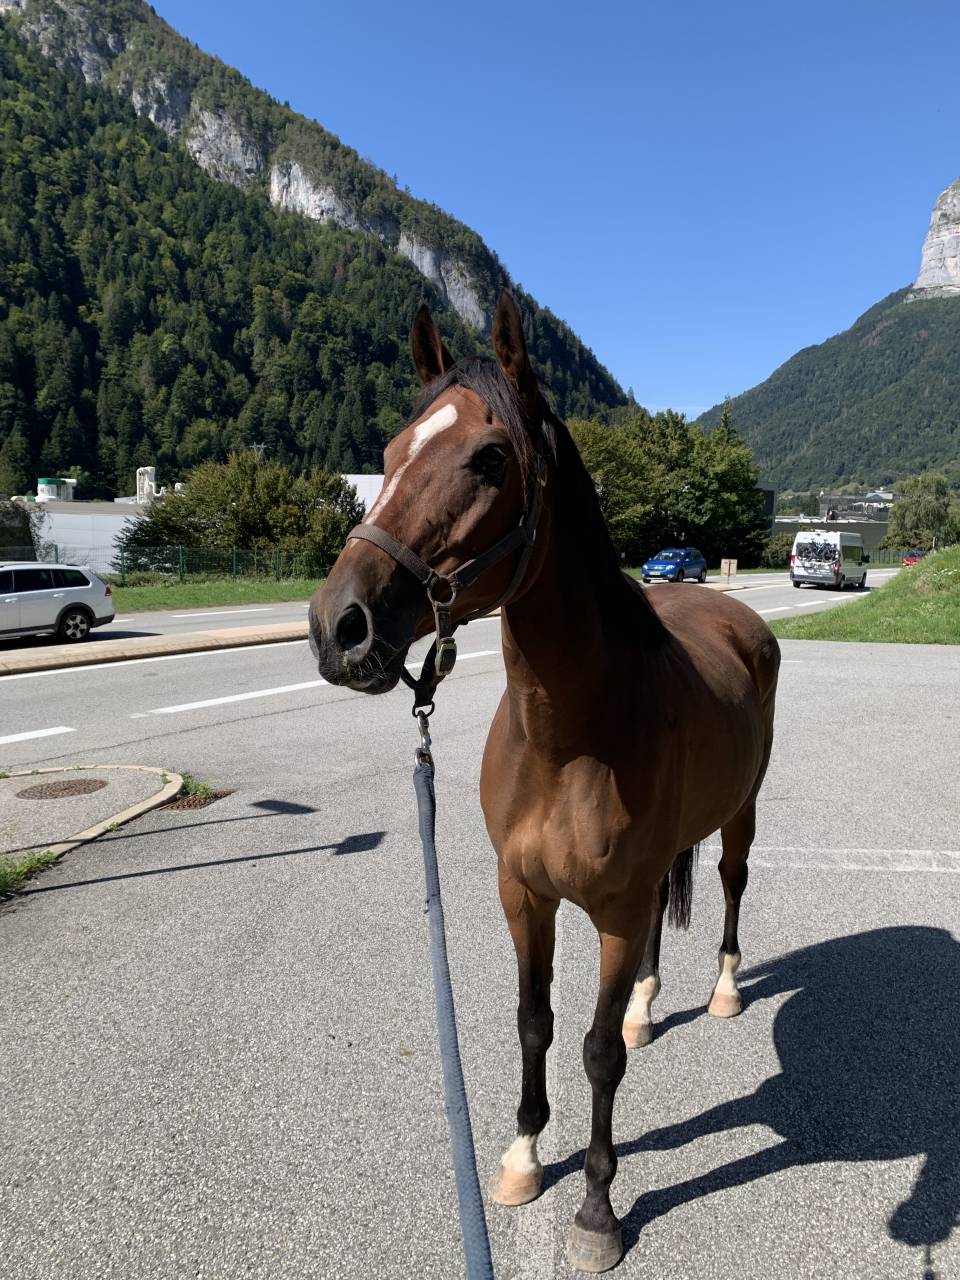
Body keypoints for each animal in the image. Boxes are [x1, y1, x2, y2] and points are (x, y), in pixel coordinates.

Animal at [309, 292, 780, 1273]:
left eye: (491, 457)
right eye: (389, 453)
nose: (340, 627)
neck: (570, 737)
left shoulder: (612, 910)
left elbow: (597, 1053)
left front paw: (597, 1210)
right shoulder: (523, 892)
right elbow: (536, 1022)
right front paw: (524, 1154)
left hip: (742, 815)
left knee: (728, 883)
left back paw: (719, 989)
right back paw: (647, 1003)